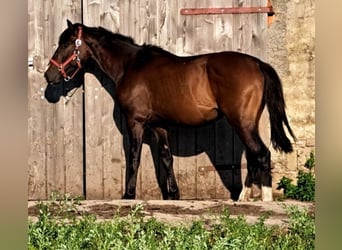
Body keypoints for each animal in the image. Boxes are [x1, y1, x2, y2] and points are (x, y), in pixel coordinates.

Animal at [43, 20, 294, 202]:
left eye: (65, 43)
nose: (49, 75)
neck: (130, 66)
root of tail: (258, 64)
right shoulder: (159, 125)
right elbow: (166, 157)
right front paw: (173, 194)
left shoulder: (136, 122)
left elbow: (134, 157)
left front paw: (129, 195)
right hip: (245, 124)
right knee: (253, 157)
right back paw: (242, 198)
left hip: (242, 123)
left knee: (262, 154)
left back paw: (265, 200)